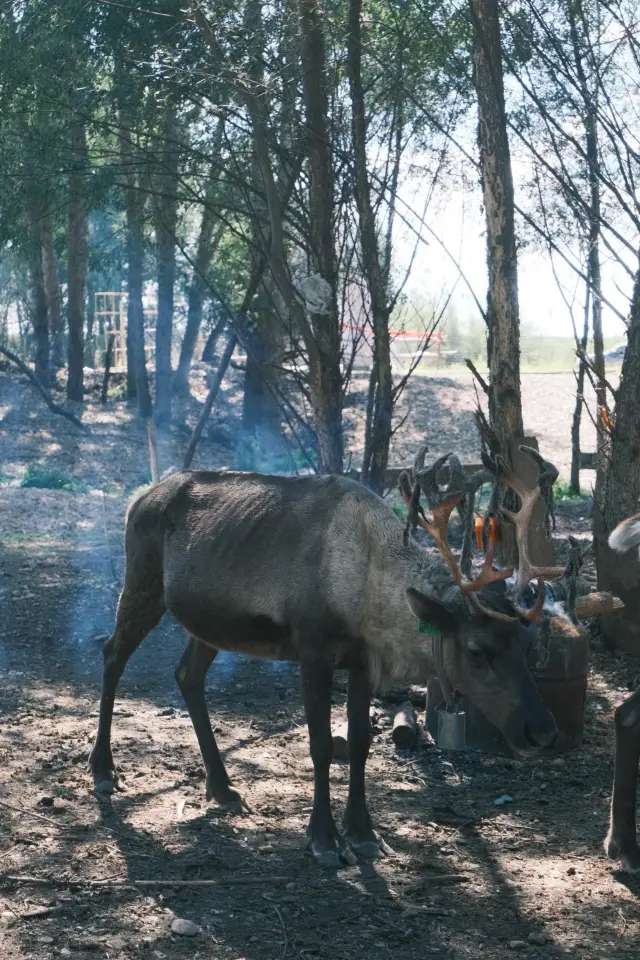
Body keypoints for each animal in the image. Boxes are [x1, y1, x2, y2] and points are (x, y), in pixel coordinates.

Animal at [89, 446, 577, 867]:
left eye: (528, 643)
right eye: (477, 649)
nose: (541, 731)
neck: (367, 593)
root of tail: (138, 497)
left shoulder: (361, 662)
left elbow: (359, 743)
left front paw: (363, 834)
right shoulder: (314, 653)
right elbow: (322, 745)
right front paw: (323, 839)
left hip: (209, 623)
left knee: (187, 675)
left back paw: (223, 788)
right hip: (143, 580)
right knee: (111, 654)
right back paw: (103, 769)